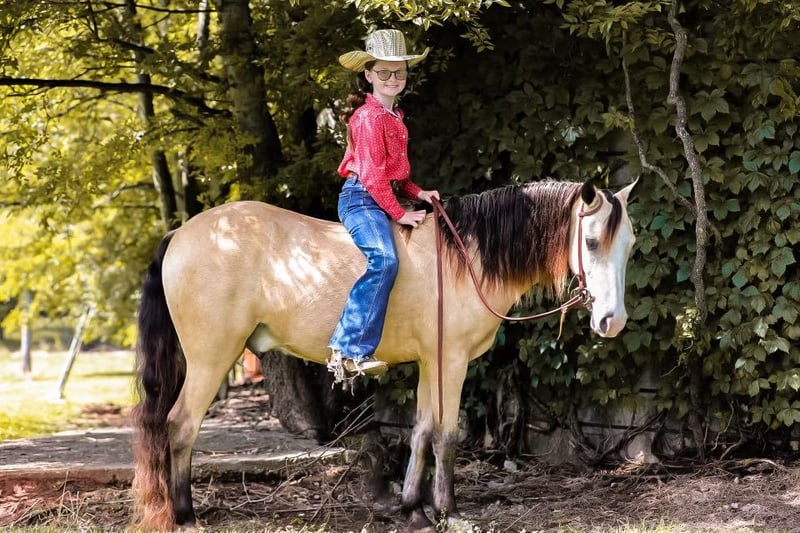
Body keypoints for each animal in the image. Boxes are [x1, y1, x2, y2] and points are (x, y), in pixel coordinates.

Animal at [131, 178, 639, 531]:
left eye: (630, 245)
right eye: (591, 241)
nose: (612, 321)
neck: (466, 257)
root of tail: (181, 233)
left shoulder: (431, 362)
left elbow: (421, 432)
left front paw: (413, 509)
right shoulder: (451, 362)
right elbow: (447, 436)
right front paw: (449, 511)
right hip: (210, 359)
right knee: (180, 425)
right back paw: (184, 515)